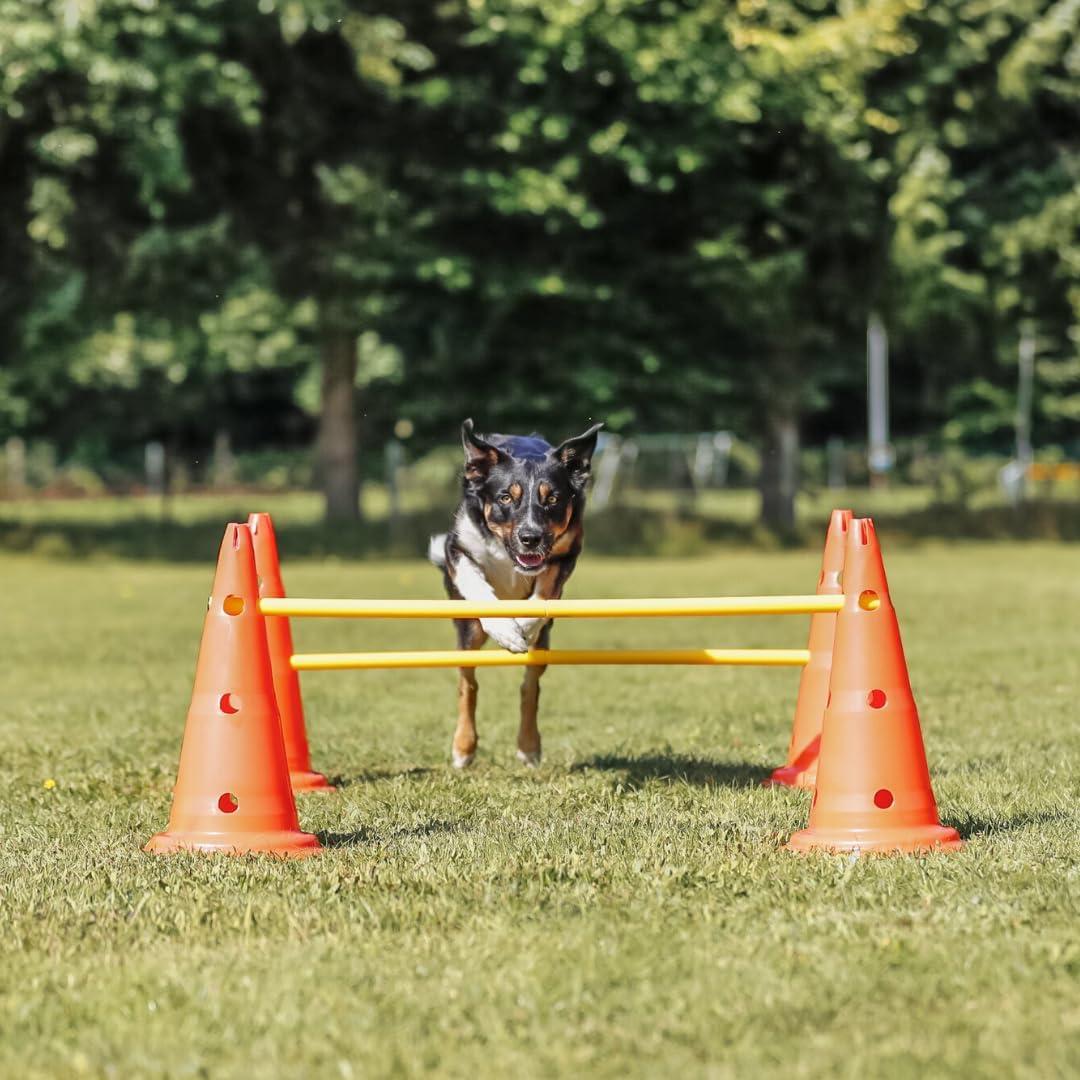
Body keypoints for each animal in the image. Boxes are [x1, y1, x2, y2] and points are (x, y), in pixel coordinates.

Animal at [427, 419, 604, 768]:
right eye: (506, 498)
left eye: (553, 499)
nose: (530, 537)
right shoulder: (457, 546)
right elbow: (475, 583)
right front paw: (506, 630)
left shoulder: (567, 552)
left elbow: (545, 594)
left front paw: (521, 626)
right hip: (467, 634)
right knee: (468, 684)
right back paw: (463, 749)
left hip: (543, 647)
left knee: (530, 686)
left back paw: (529, 745)